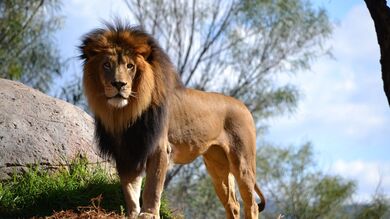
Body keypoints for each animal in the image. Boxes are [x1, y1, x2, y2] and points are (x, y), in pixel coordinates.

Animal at [80, 21, 266, 219]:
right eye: (107, 65)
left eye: (130, 66)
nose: (119, 84)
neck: (126, 112)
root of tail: (244, 106)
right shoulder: (127, 150)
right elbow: (130, 188)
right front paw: (132, 213)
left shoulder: (160, 148)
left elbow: (152, 186)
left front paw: (149, 214)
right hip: (217, 165)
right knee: (233, 204)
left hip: (242, 162)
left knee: (251, 204)